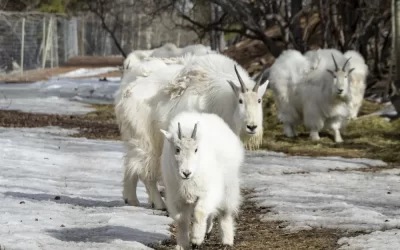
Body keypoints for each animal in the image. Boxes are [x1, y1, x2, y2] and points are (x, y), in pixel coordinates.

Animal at [119, 53, 268, 210]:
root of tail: (127, 92)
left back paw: (131, 199)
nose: (252, 127)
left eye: (259, 100)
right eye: (240, 100)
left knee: (130, 164)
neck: (225, 103)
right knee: (145, 171)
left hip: (135, 139)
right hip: (146, 140)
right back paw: (159, 204)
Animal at [160, 112, 244, 250]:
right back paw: (208, 231)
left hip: (229, 186)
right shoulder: (177, 197)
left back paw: (227, 240)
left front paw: (196, 241)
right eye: (177, 149)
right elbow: (181, 220)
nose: (186, 173)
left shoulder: (208, 193)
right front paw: (183, 245)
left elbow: (199, 213)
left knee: (225, 212)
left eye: (196, 149)